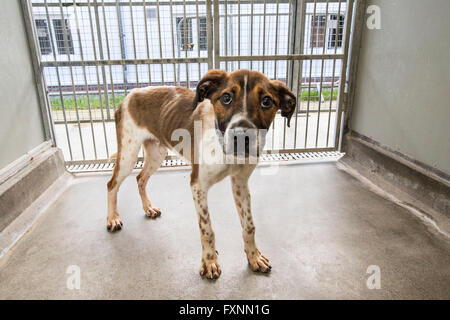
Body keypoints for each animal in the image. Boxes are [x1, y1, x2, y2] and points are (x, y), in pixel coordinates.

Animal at [105, 69, 296, 278]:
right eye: (226, 98)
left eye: (266, 101)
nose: (241, 136)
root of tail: (129, 95)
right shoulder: (198, 185)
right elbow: (207, 229)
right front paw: (210, 261)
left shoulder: (240, 183)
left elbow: (249, 225)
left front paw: (254, 257)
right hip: (128, 155)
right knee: (112, 184)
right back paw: (112, 218)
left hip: (157, 153)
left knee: (140, 178)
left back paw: (149, 208)